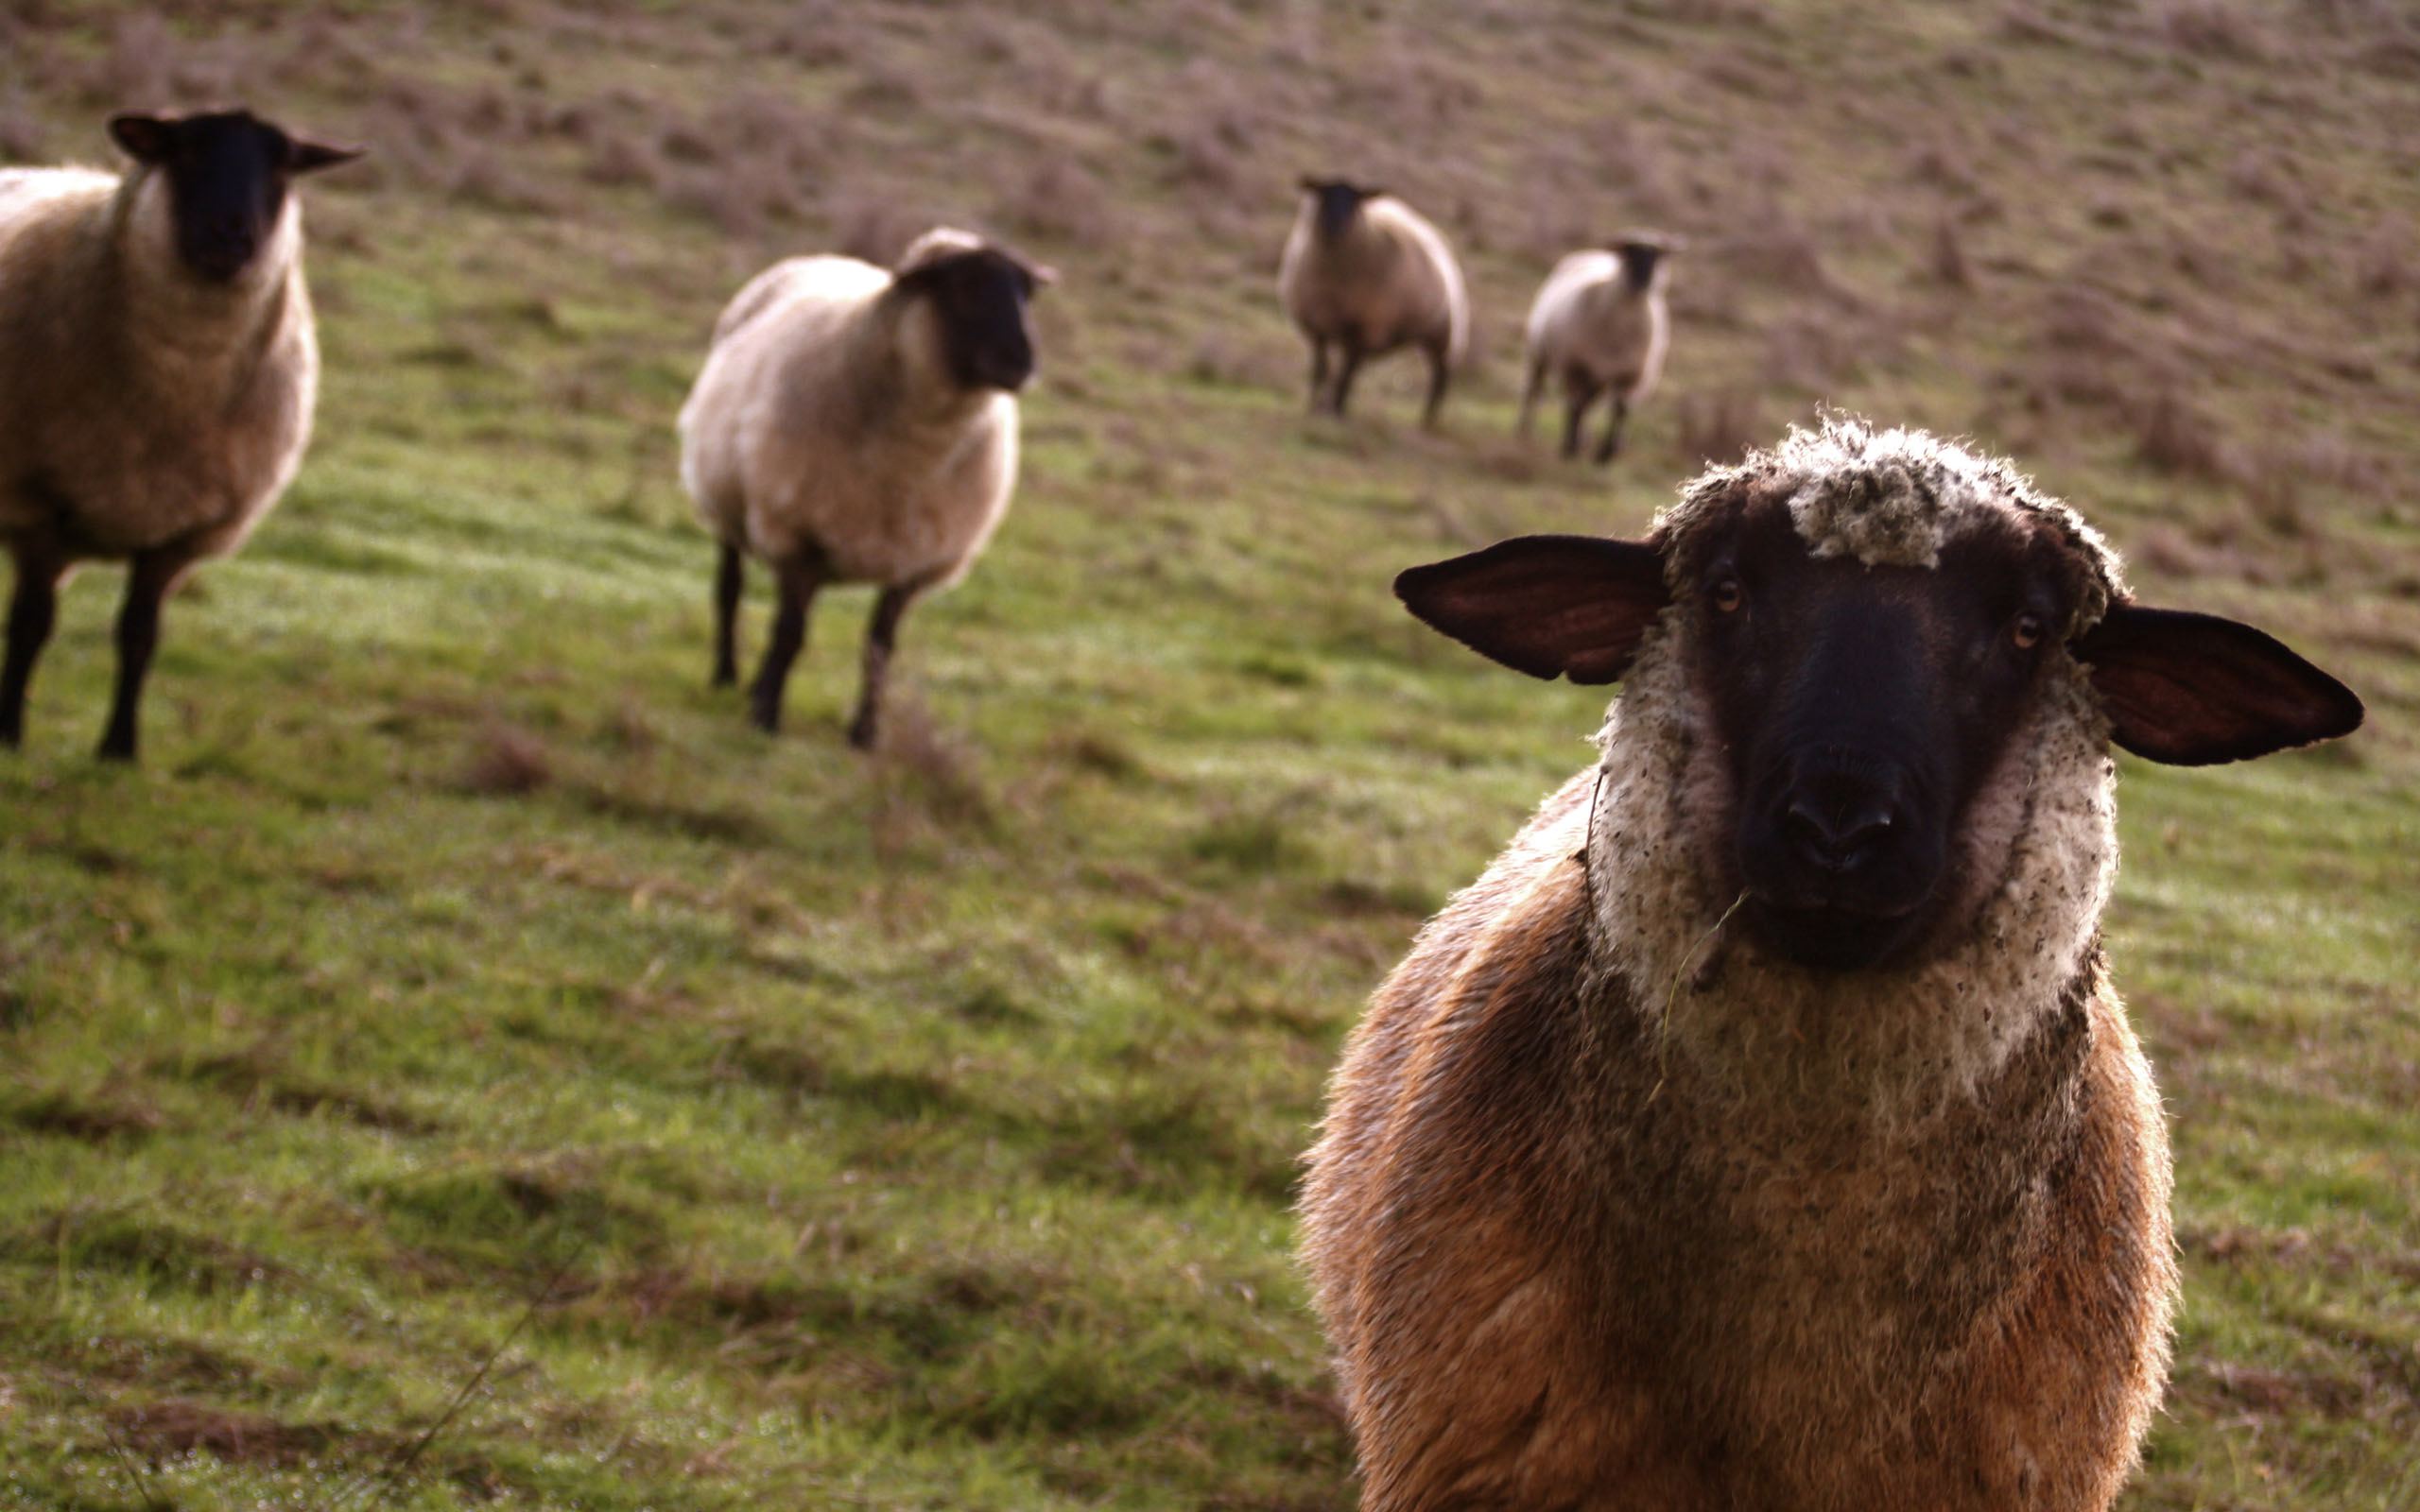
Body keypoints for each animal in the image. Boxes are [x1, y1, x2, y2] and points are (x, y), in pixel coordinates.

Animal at [0, 112, 360, 759]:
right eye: (184, 152)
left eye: (282, 167)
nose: (231, 235)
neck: (176, 390)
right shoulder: (37, 503)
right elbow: (30, 625)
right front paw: (9, 734)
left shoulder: (180, 533)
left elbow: (139, 635)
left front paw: (120, 749)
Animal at [687, 227, 1055, 745]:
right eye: (963, 286)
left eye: (1026, 293)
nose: (1021, 363)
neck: (912, 455)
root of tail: (824, 256)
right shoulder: (798, 533)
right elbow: (790, 633)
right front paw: (767, 717)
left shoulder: (914, 557)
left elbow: (879, 647)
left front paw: (864, 733)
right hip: (728, 505)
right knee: (730, 589)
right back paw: (726, 675)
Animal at [1277, 180, 1461, 433]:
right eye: (1324, 195)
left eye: (1355, 200)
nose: (1336, 226)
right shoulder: (1317, 325)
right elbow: (1321, 369)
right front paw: (1314, 406)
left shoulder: (1362, 327)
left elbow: (1344, 374)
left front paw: (1335, 411)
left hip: (1439, 333)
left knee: (1439, 376)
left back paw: (1428, 421)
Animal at [1519, 231, 1674, 459]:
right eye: (1629, 253)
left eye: (1656, 256)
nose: (1644, 280)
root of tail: (1593, 253)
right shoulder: (1575, 366)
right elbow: (1576, 405)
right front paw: (1571, 446)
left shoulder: (1632, 375)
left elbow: (1621, 409)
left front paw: (1607, 452)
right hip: (1539, 353)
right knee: (1536, 391)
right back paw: (1525, 430)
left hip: (1598, 377)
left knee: (1589, 404)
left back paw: (1585, 439)